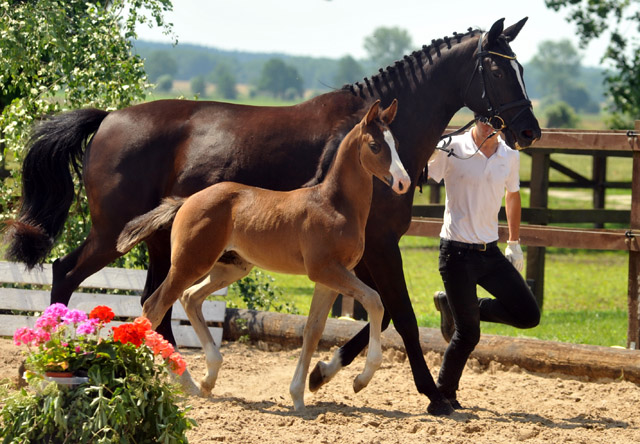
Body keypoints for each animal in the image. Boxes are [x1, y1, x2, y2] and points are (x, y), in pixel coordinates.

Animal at [117, 99, 410, 410]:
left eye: (396, 143)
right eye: (375, 146)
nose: (403, 182)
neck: (334, 204)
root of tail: (186, 201)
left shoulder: (329, 280)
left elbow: (313, 330)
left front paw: (299, 396)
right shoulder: (326, 270)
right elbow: (375, 301)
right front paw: (361, 379)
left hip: (230, 267)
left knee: (190, 297)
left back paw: (206, 379)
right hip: (189, 264)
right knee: (154, 306)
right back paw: (161, 376)